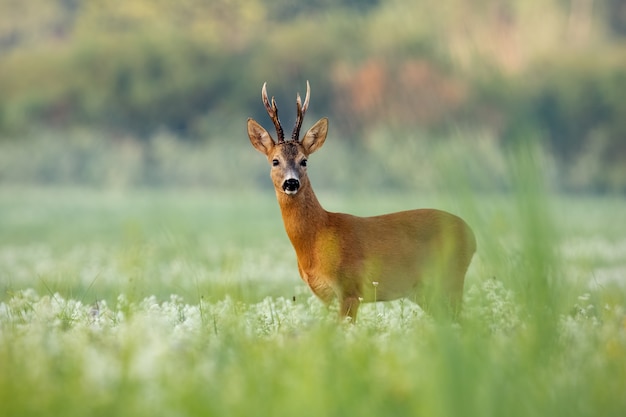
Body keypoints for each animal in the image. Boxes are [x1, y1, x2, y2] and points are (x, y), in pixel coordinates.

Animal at [246, 82, 476, 322]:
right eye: (275, 161)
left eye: (304, 161)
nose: (291, 182)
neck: (317, 237)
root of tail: (473, 236)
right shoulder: (325, 296)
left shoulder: (350, 288)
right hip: (426, 292)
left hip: (450, 279)